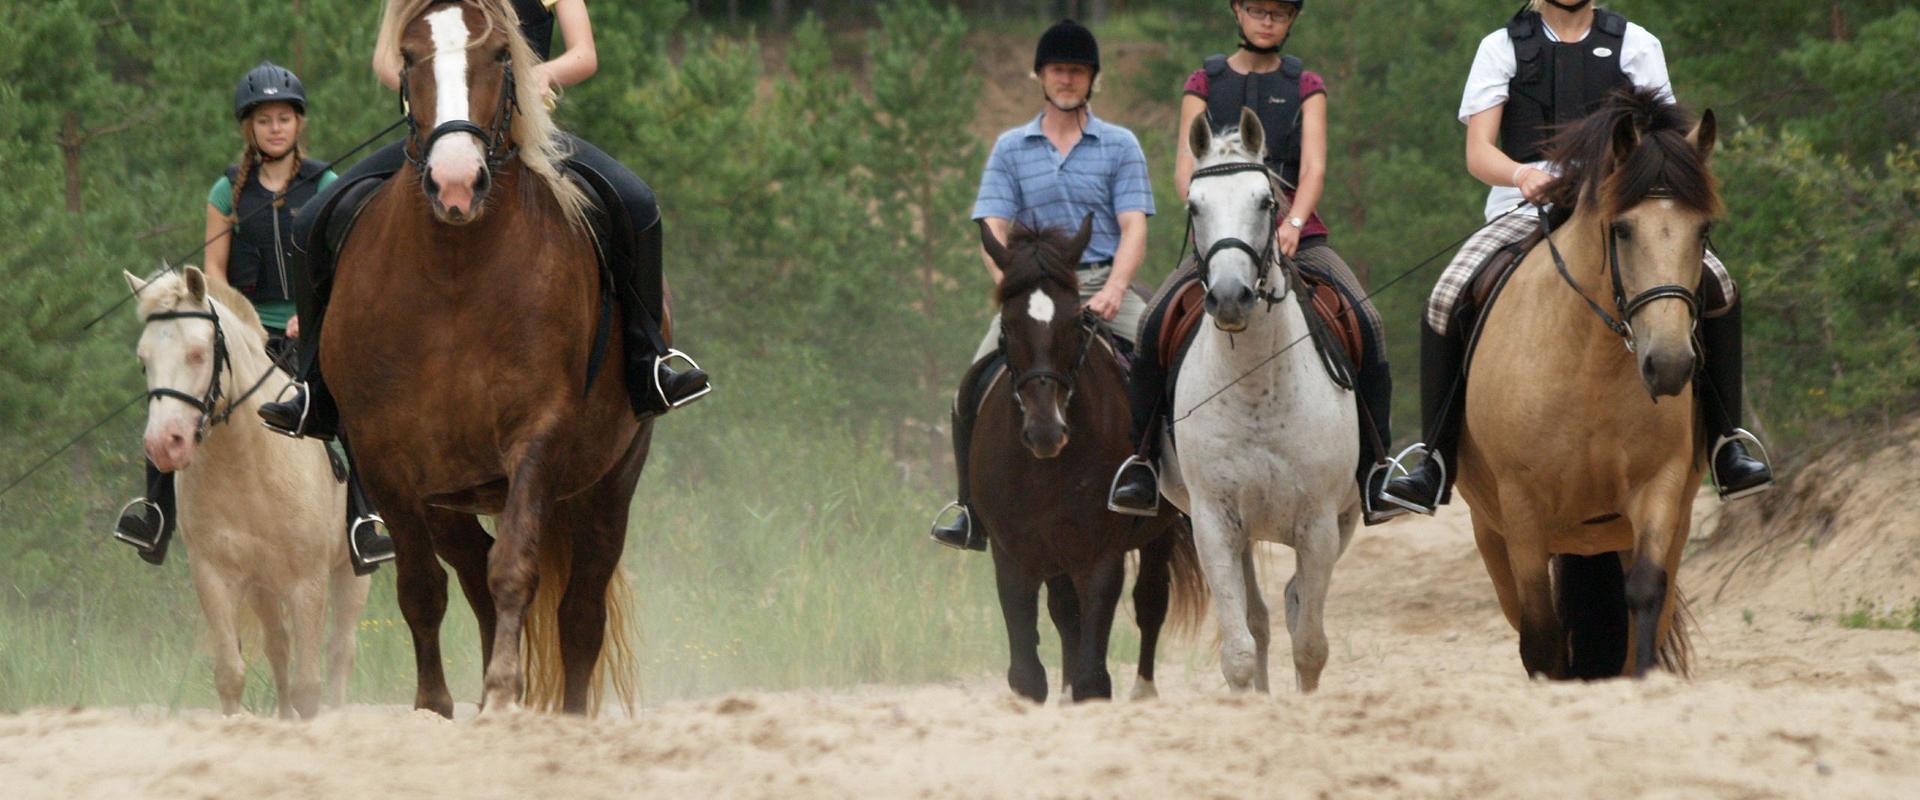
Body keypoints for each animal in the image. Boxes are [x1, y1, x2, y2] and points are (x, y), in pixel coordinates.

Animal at [127, 268, 370, 717]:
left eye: (197, 353)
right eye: (143, 360)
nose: (163, 445)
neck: (246, 462)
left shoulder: (307, 581)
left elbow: (309, 685)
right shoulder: (215, 575)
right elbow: (231, 674)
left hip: (351, 569)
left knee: (341, 651)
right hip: (263, 584)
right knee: (278, 647)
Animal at [318, 0, 641, 709]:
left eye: (499, 54)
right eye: (409, 56)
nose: (456, 184)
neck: (455, 271)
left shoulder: (537, 437)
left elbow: (514, 568)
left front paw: (499, 690)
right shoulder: (385, 459)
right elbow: (421, 588)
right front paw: (434, 705)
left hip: (611, 480)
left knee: (579, 610)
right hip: (448, 498)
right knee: (468, 573)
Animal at [967, 216, 1205, 698]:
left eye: (1075, 323)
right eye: (1008, 326)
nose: (1046, 431)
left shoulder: (1099, 557)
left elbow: (1093, 678)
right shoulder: (1013, 556)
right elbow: (1027, 674)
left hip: (1157, 531)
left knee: (1151, 601)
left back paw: (1144, 690)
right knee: (1064, 611)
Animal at [1152, 109, 1367, 690]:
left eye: (1266, 201)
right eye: (1194, 206)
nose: (1230, 298)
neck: (1255, 388)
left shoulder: (1319, 526)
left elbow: (1311, 645)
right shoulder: (1213, 524)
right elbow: (1241, 648)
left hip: (1341, 520)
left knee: (1293, 607)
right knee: (1260, 619)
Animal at [1451, 88, 1712, 679]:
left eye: (1703, 230)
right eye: (1622, 229)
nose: (1669, 366)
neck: (1591, 369)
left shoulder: (1660, 489)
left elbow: (1644, 599)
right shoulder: (1522, 510)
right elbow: (1541, 636)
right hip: (1491, 533)